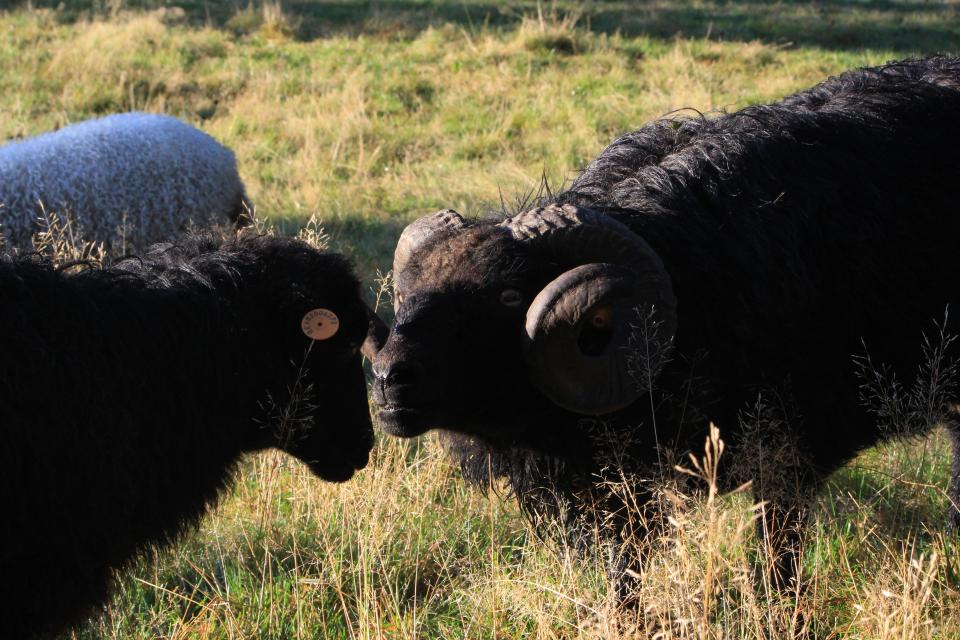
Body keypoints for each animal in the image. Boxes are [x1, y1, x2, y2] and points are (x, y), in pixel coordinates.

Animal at [372, 57, 960, 592]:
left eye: (509, 295)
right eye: (408, 291)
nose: (386, 380)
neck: (694, 274)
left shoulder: (787, 459)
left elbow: (777, 574)